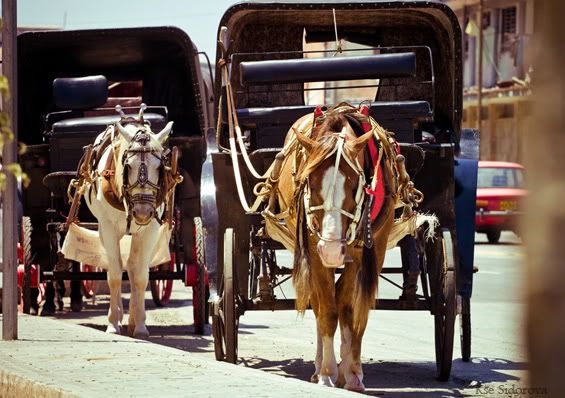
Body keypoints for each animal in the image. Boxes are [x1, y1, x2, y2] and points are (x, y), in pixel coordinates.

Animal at [85, 118, 172, 338]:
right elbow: (115, 275)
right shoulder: (108, 228)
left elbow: (140, 276)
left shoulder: (150, 230)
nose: (142, 212)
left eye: (159, 167)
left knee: (133, 266)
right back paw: (120, 314)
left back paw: (132, 319)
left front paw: (140, 326)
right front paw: (113, 322)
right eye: (128, 166)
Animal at [268, 105, 396, 392]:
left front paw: (352, 372)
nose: (332, 250)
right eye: (310, 183)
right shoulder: (315, 251)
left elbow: (352, 309)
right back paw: (319, 367)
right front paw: (327, 372)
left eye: (355, 184)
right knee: (319, 304)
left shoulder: (372, 251)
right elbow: (327, 311)